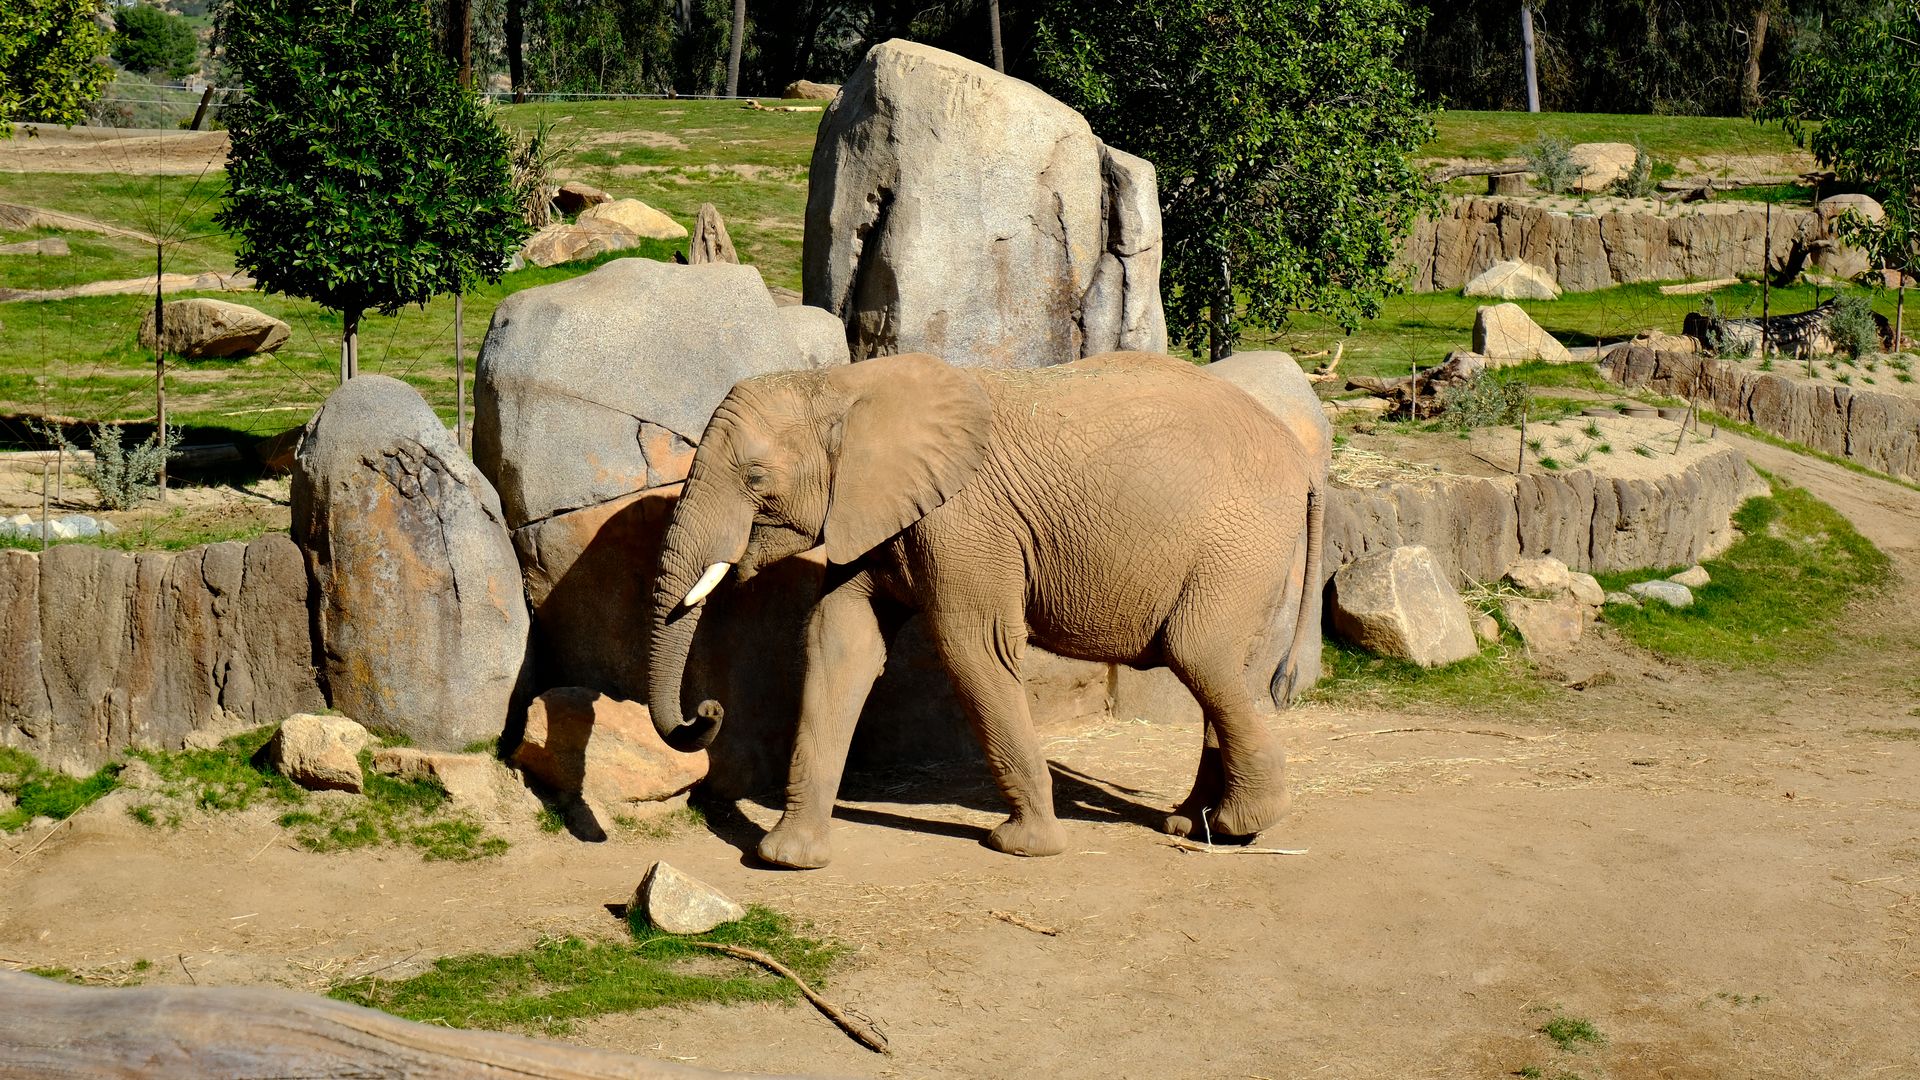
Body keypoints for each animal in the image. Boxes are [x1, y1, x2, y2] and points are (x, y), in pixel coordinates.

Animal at [646, 350, 1324, 869]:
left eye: (756, 478)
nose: (707, 711)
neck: (845, 384)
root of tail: (1304, 460)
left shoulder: (965, 524)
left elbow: (971, 647)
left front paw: (1023, 846)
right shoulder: (873, 513)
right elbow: (840, 644)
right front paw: (786, 858)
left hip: (1239, 545)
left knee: (1200, 655)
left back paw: (1241, 823)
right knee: (1220, 670)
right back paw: (1192, 824)